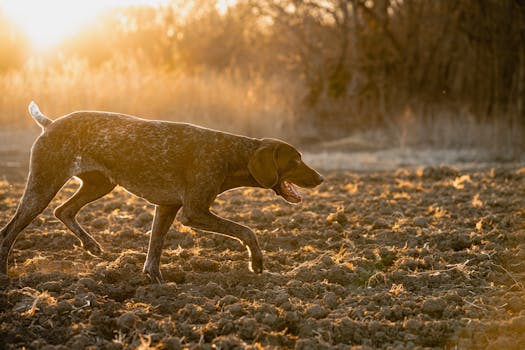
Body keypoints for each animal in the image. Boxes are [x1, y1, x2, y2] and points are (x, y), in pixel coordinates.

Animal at [0, 102, 322, 284]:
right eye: (295, 160)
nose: (319, 178)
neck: (231, 154)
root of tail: (50, 124)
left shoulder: (167, 208)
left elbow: (154, 248)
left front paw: (155, 280)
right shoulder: (194, 212)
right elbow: (246, 230)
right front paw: (256, 263)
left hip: (100, 184)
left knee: (63, 210)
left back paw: (91, 245)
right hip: (42, 187)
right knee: (9, 232)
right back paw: (4, 274)